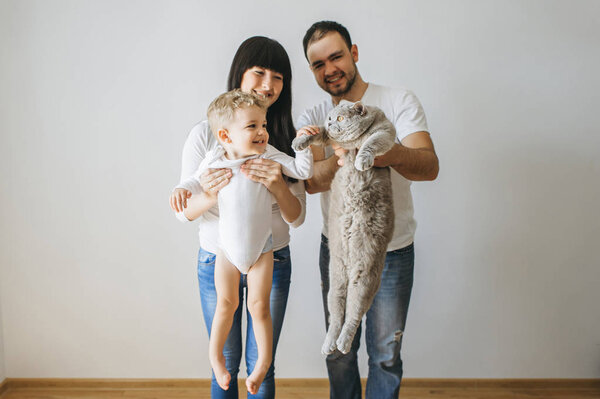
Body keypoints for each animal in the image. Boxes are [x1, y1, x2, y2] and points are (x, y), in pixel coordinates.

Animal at [292, 101, 396, 354]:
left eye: (340, 118)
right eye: (329, 118)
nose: (331, 122)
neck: (351, 144)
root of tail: (349, 266)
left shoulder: (385, 133)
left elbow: (370, 143)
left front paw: (361, 161)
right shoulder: (329, 139)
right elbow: (316, 134)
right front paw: (300, 141)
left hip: (364, 278)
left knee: (353, 315)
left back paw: (342, 343)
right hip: (335, 280)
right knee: (336, 315)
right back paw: (329, 344)